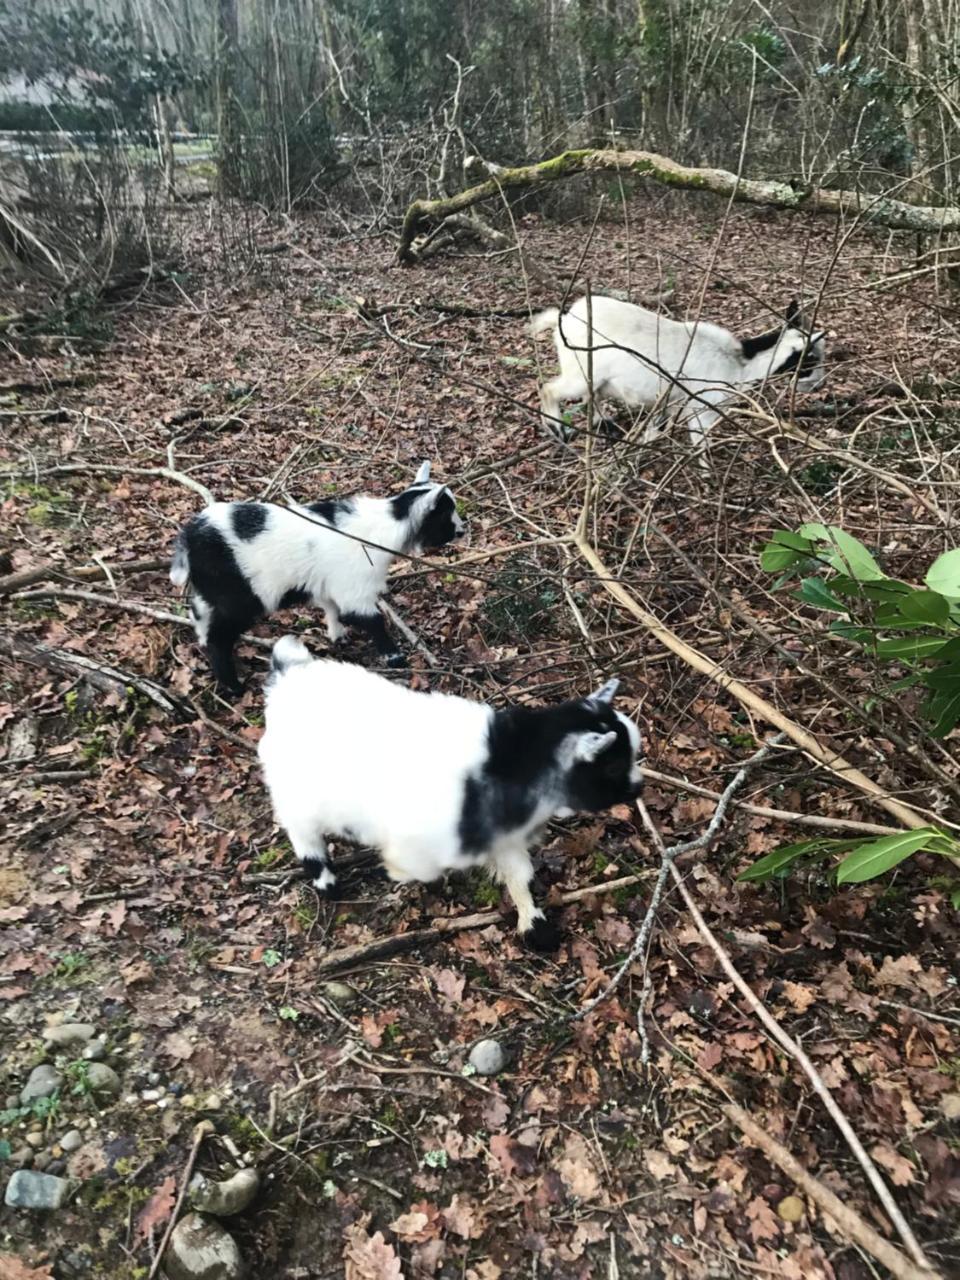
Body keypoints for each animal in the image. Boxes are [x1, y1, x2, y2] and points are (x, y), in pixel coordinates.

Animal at [171, 463, 465, 696]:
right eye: (446, 515)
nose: (463, 530)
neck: (385, 525)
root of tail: (189, 538)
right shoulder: (355, 587)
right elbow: (371, 620)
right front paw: (395, 657)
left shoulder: (329, 584)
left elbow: (332, 609)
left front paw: (337, 636)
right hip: (239, 596)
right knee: (218, 637)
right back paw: (233, 685)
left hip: (211, 591)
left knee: (200, 617)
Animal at [259, 637, 642, 952]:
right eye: (611, 767)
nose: (638, 787)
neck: (508, 764)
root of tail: (287, 679)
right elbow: (421, 865)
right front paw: (395, 872)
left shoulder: (502, 835)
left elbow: (520, 875)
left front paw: (535, 928)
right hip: (294, 788)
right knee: (301, 830)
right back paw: (325, 879)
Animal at [527, 296, 829, 448]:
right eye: (810, 359)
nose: (820, 385)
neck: (739, 364)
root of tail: (563, 319)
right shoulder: (702, 409)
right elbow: (700, 444)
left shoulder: (672, 401)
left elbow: (656, 427)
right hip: (578, 372)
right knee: (549, 389)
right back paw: (557, 430)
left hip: (596, 377)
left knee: (593, 396)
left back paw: (605, 424)